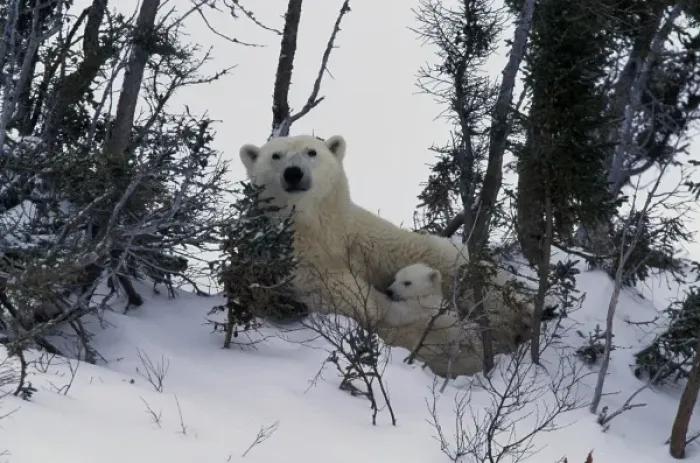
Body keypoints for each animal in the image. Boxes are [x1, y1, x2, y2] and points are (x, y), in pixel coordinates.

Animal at [238, 134, 532, 378]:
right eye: (275, 156)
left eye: (312, 152)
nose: (293, 173)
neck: (317, 230)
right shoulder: (297, 262)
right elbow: (347, 295)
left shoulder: (363, 238)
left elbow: (430, 255)